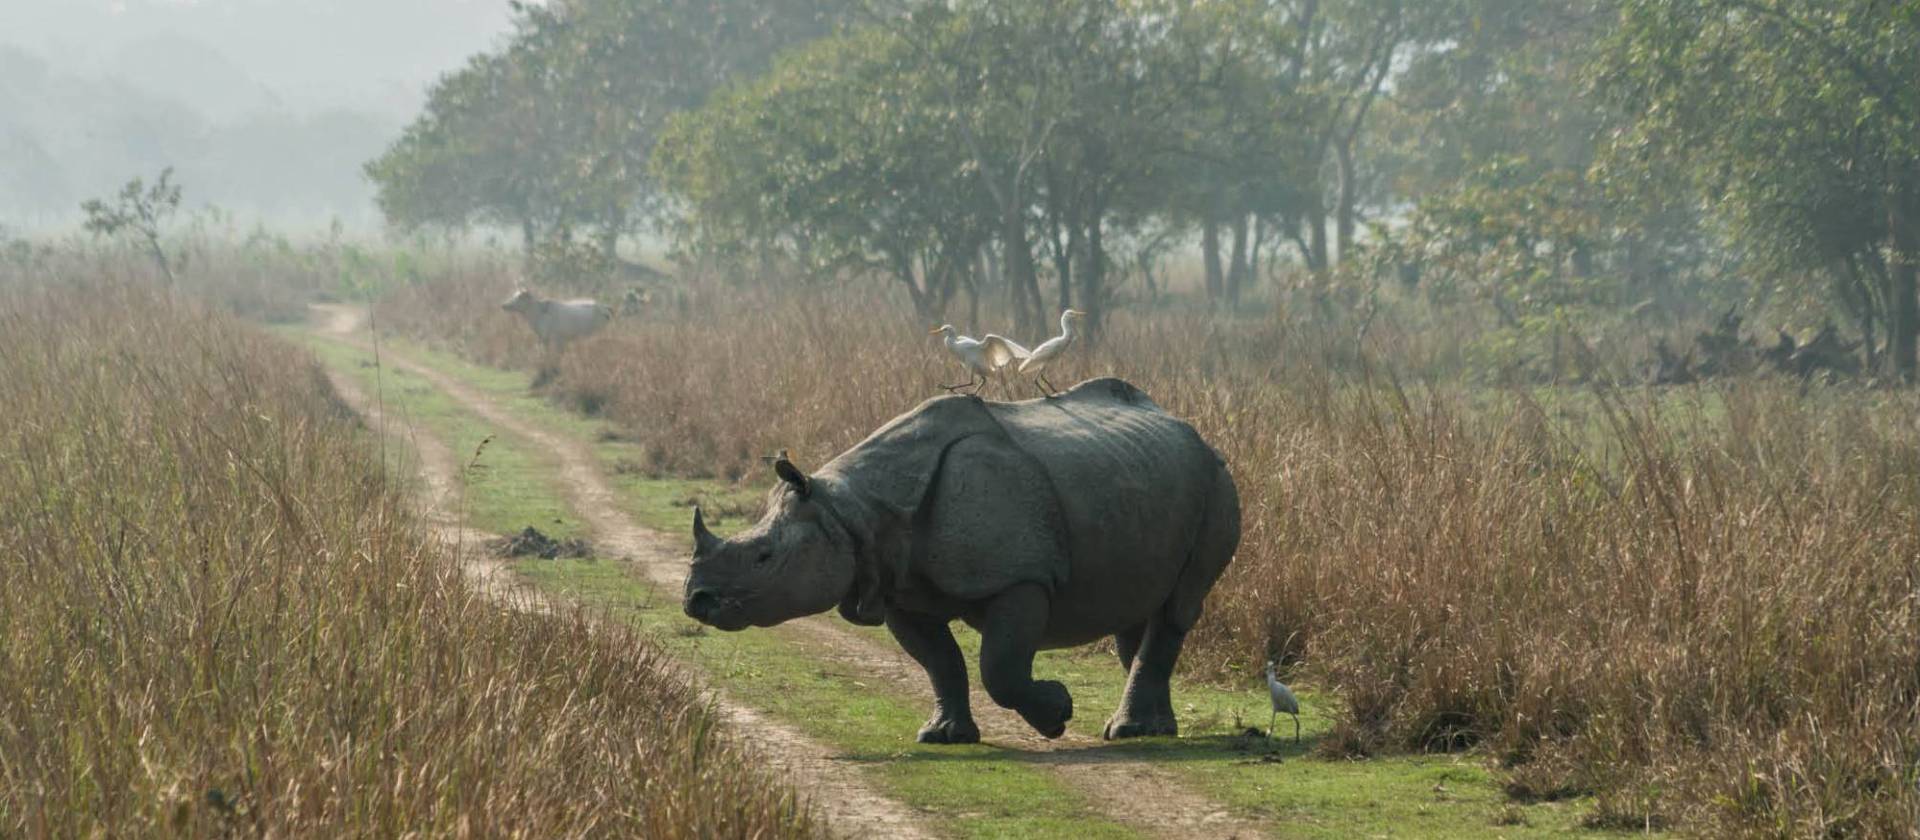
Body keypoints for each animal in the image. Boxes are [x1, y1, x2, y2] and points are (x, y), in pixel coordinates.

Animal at [683, 378, 1239, 742]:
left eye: (764, 557)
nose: (696, 600)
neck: (851, 511)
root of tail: (1192, 429)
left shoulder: (1021, 576)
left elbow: (1000, 667)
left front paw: (1057, 713)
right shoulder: (898, 588)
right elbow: (940, 662)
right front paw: (944, 735)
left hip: (1216, 478)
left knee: (1178, 606)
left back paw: (1129, 731)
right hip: (1144, 477)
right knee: (1140, 610)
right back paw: (1152, 729)